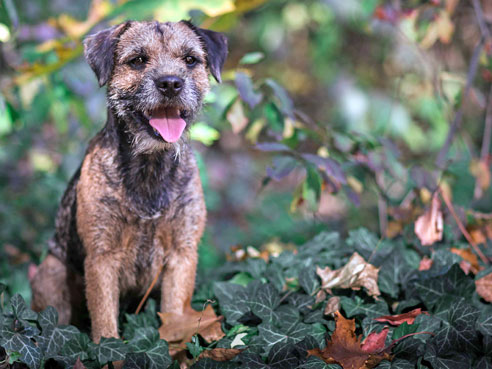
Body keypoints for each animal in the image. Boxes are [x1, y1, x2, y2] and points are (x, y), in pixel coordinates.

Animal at [30, 20, 229, 342]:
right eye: (137, 60)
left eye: (190, 60)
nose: (170, 83)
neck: (150, 166)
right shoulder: (101, 258)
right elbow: (103, 320)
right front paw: (108, 348)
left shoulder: (182, 254)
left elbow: (175, 313)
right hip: (50, 273)